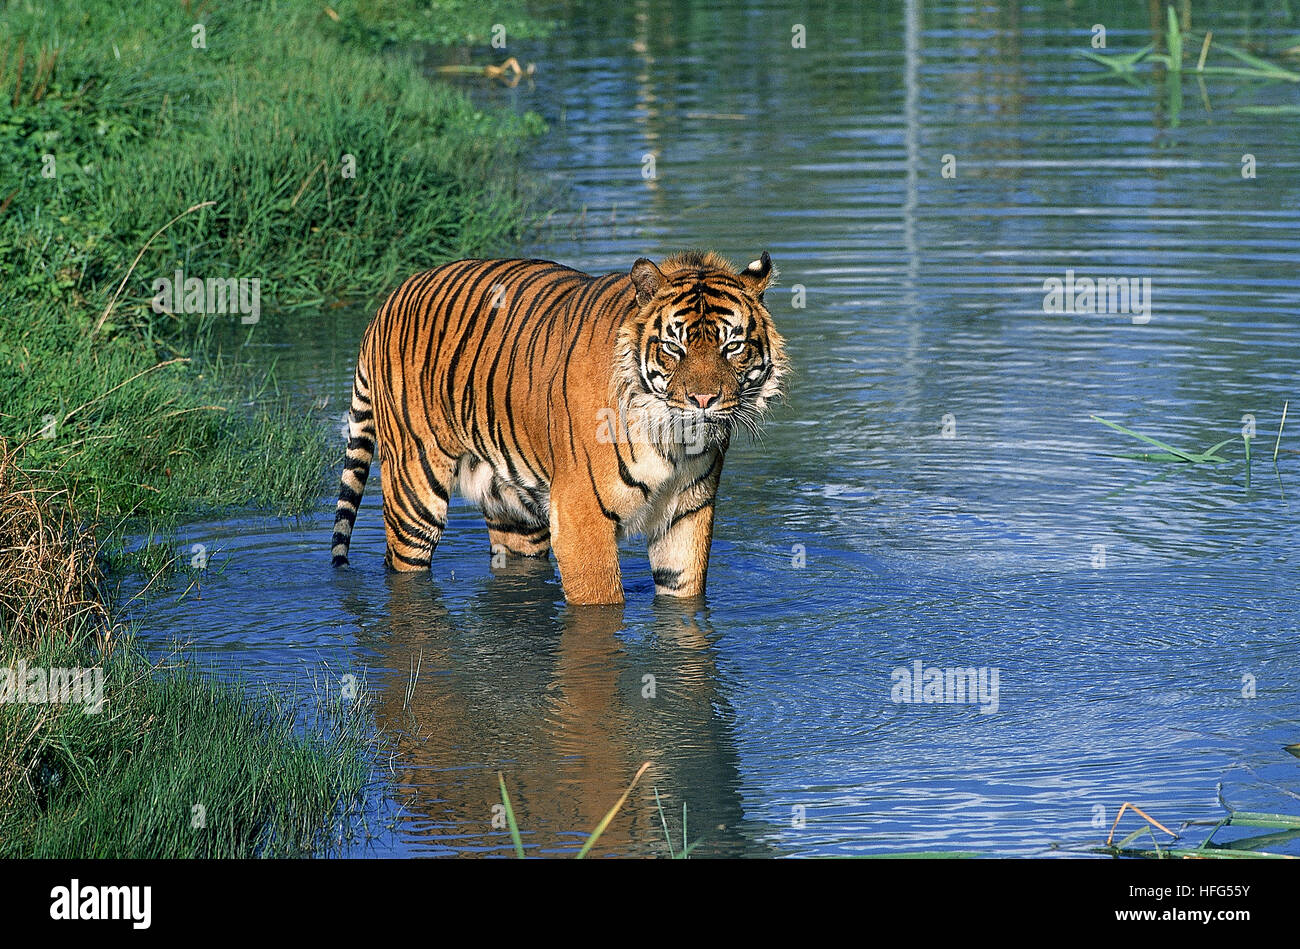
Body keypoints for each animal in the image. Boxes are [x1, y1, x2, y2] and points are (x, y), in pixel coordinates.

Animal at [330, 250, 785, 603]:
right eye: (674, 347)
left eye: (733, 346)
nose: (704, 401)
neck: (674, 440)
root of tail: (388, 301)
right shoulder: (581, 517)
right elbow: (601, 605)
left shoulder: (686, 512)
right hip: (414, 489)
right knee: (401, 565)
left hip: (515, 514)